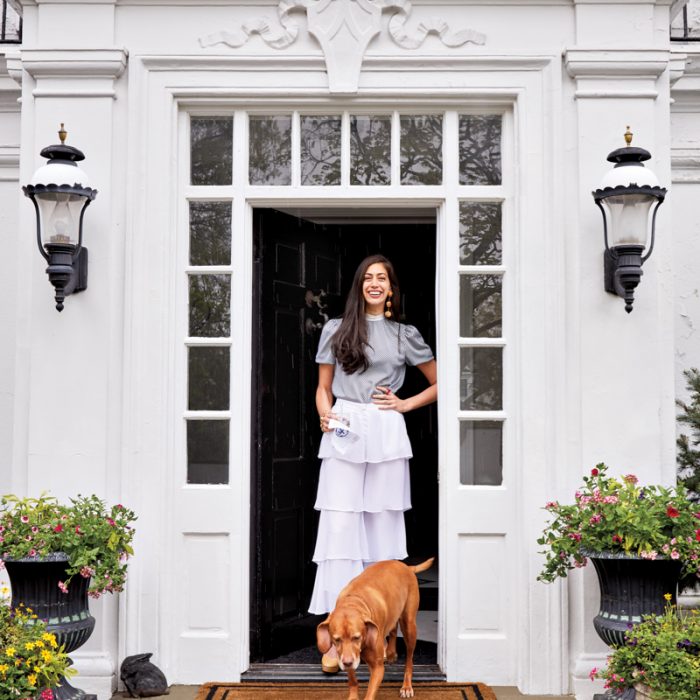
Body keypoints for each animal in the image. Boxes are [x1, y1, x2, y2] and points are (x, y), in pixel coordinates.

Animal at [316, 556, 432, 700]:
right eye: (336, 640)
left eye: (357, 637)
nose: (347, 663)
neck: (354, 602)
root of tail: (406, 567)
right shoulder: (347, 658)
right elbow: (352, 680)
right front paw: (353, 695)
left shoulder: (377, 668)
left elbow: (370, 693)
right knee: (393, 628)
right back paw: (391, 652)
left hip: (409, 626)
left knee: (409, 660)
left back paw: (406, 685)